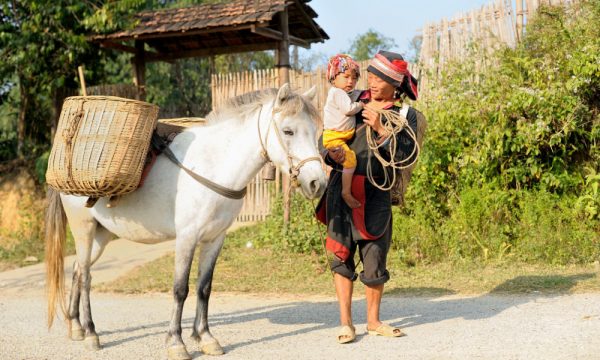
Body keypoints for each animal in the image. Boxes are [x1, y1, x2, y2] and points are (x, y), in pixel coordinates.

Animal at [45, 85, 328, 360]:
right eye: (288, 131)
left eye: (316, 131)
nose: (317, 183)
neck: (213, 165)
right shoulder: (187, 238)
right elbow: (180, 289)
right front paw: (176, 343)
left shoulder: (215, 239)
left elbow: (204, 288)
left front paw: (205, 337)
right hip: (83, 229)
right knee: (85, 277)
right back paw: (91, 333)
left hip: (101, 235)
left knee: (78, 271)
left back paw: (77, 327)